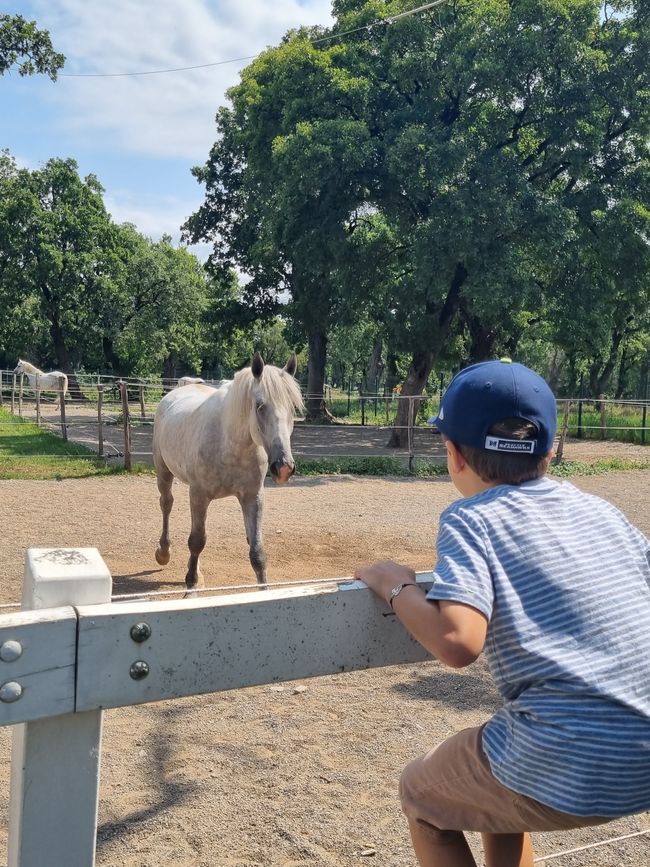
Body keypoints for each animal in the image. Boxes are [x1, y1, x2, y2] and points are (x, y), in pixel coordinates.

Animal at [153, 352, 302, 588]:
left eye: (292, 408)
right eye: (260, 406)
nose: (283, 467)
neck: (230, 444)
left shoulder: (253, 497)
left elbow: (257, 552)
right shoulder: (199, 495)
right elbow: (197, 542)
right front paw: (191, 584)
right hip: (163, 471)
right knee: (166, 504)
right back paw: (163, 553)